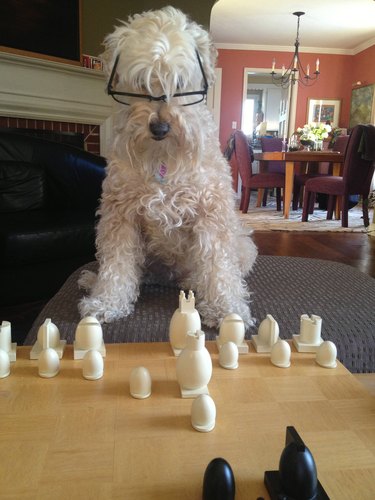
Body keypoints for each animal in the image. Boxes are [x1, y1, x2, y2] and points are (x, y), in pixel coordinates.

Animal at [78, 6, 258, 332]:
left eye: (181, 82)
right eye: (140, 82)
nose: (160, 128)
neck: (162, 160)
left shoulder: (210, 214)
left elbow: (218, 267)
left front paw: (225, 309)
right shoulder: (120, 216)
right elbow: (117, 264)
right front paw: (107, 302)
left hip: (245, 246)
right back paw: (94, 280)